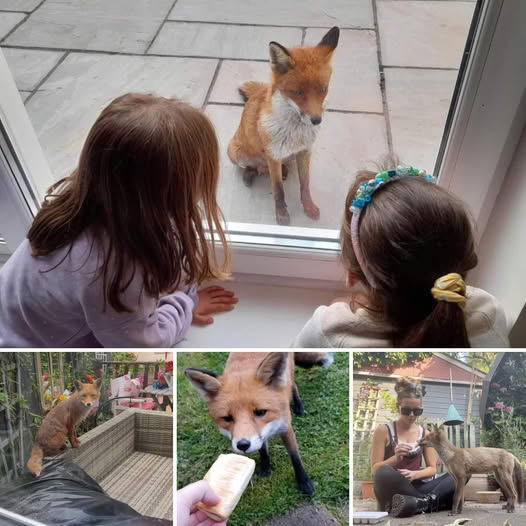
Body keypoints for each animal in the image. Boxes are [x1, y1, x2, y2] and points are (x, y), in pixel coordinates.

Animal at [185, 352, 334, 498]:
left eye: (260, 412)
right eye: (227, 418)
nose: (243, 445)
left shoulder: (286, 427)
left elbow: (295, 457)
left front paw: (304, 482)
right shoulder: (260, 436)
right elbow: (262, 448)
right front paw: (265, 466)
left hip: (289, 373)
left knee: (293, 386)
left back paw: (298, 405)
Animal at [229, 28, 340, 227]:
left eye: (323, 89)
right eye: (297, 92)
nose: (316, 120)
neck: (295, 133)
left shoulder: (304, 152)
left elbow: (305, 184)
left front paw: (309, 207)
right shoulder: (273, 156)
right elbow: (278, 189)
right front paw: (281, 214)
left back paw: (283, 171)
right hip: (236, 154)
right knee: (253, 167)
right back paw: (249, 175)